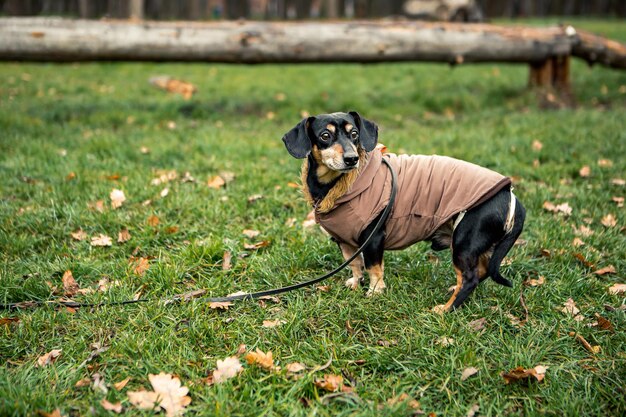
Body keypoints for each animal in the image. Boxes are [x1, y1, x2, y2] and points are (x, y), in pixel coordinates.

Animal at [282, 111, 520, 312]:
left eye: (354, 134)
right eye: (325, 135)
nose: (352, 158)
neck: (337, 186)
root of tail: (510, 195)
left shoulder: (373, 238)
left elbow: (374, 268)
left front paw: (375, 291)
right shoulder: (345, 241)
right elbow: (356, 265)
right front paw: (356, 283)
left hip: (464, 241)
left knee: (470, 278)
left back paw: (446, 309)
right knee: (480, 271)